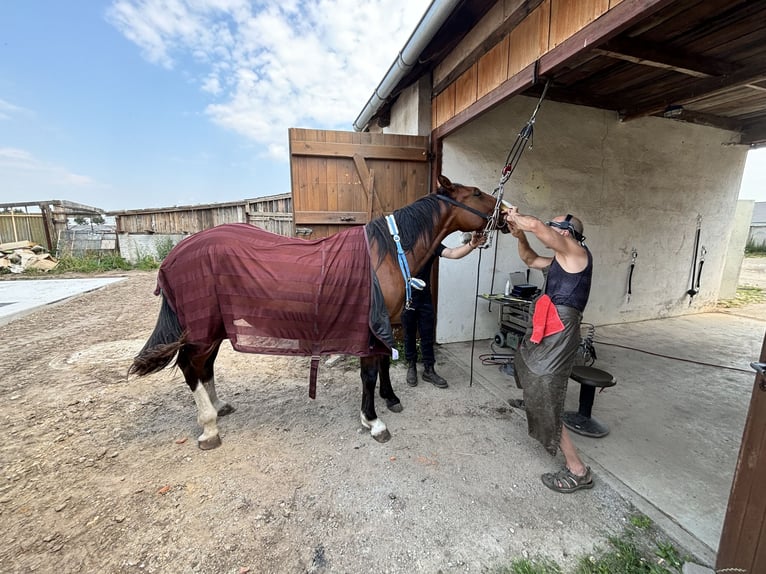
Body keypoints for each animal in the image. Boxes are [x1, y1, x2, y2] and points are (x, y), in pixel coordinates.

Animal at [129, 174, 500, 450]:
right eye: (476, 193)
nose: (506, 211)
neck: (387, 253)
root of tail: (175, 254)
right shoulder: (368, 328)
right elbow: (369, 373)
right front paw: (373, 421)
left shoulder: (382, 324)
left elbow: (382, 366)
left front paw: (389, 399)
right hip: (201, 329)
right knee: (190, 367)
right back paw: (209, 428)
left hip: (215, 327)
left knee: (204, 367)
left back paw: (219, 408)